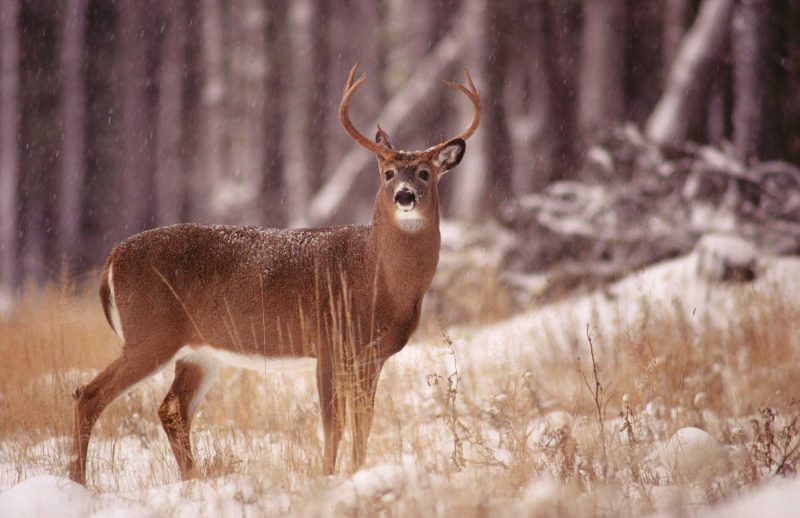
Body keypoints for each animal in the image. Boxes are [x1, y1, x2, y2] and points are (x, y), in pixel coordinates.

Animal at [68, 65, 480, 486]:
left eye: (426, 173)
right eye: (388, 173)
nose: (405, 195)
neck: (376, 278)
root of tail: (111, 260)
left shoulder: (371, 357)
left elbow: (363, 424)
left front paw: (358, 473)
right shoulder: (328, 341)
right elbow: (333, 425)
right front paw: (328, 477)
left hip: (198, 352)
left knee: (171, 409)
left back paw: (192, 478)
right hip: (149, 335)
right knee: (90, 394)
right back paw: (80, 481)